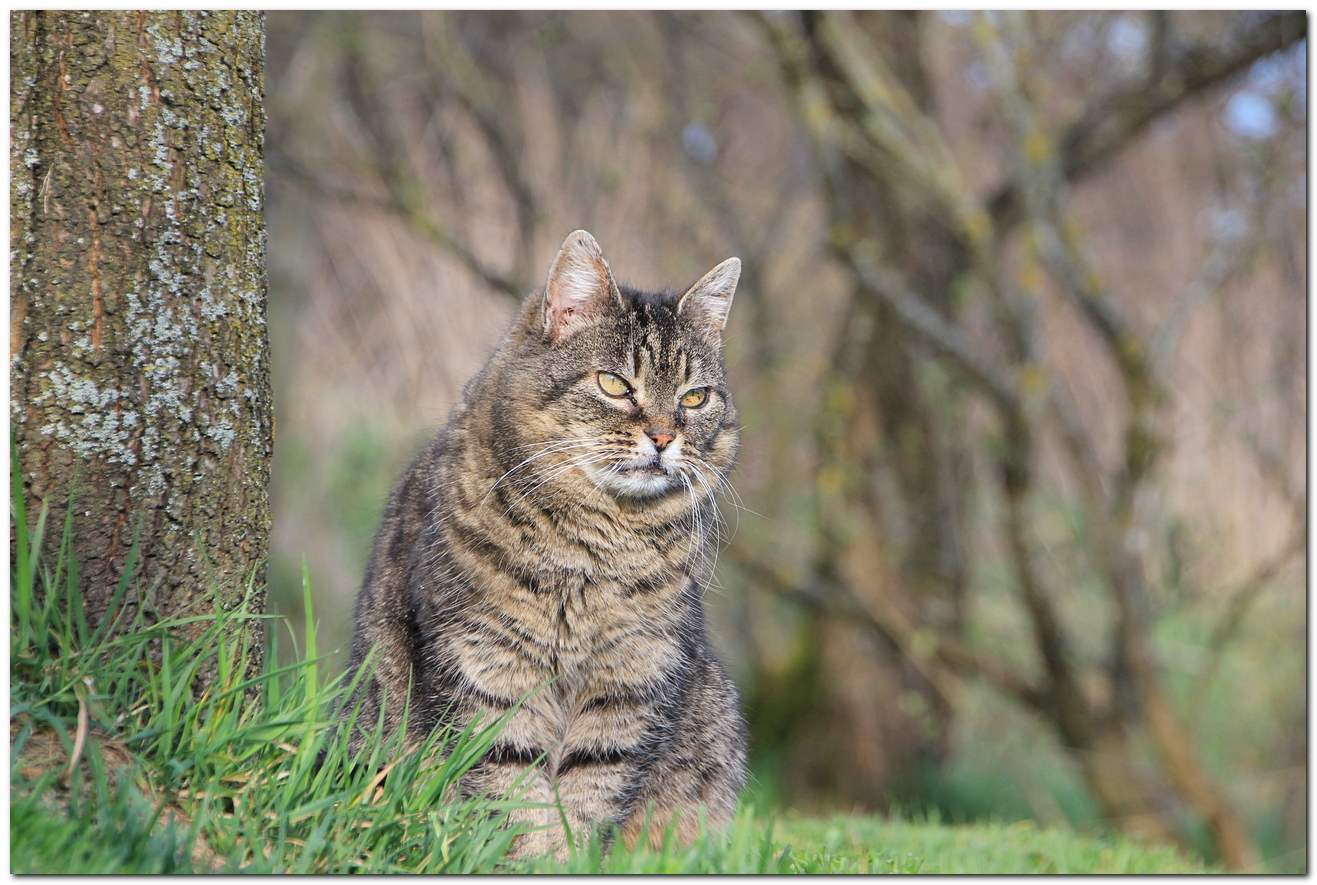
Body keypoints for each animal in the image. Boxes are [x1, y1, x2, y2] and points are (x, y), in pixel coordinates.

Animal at [345, 230, 748, 858]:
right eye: (614, 384)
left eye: (695, 398)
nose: (664, 436)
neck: (600, 547)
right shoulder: (488, 667)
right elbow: (515, 792)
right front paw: (533, 859)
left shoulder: (632, 679)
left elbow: (587, 792)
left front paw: (570, 856)